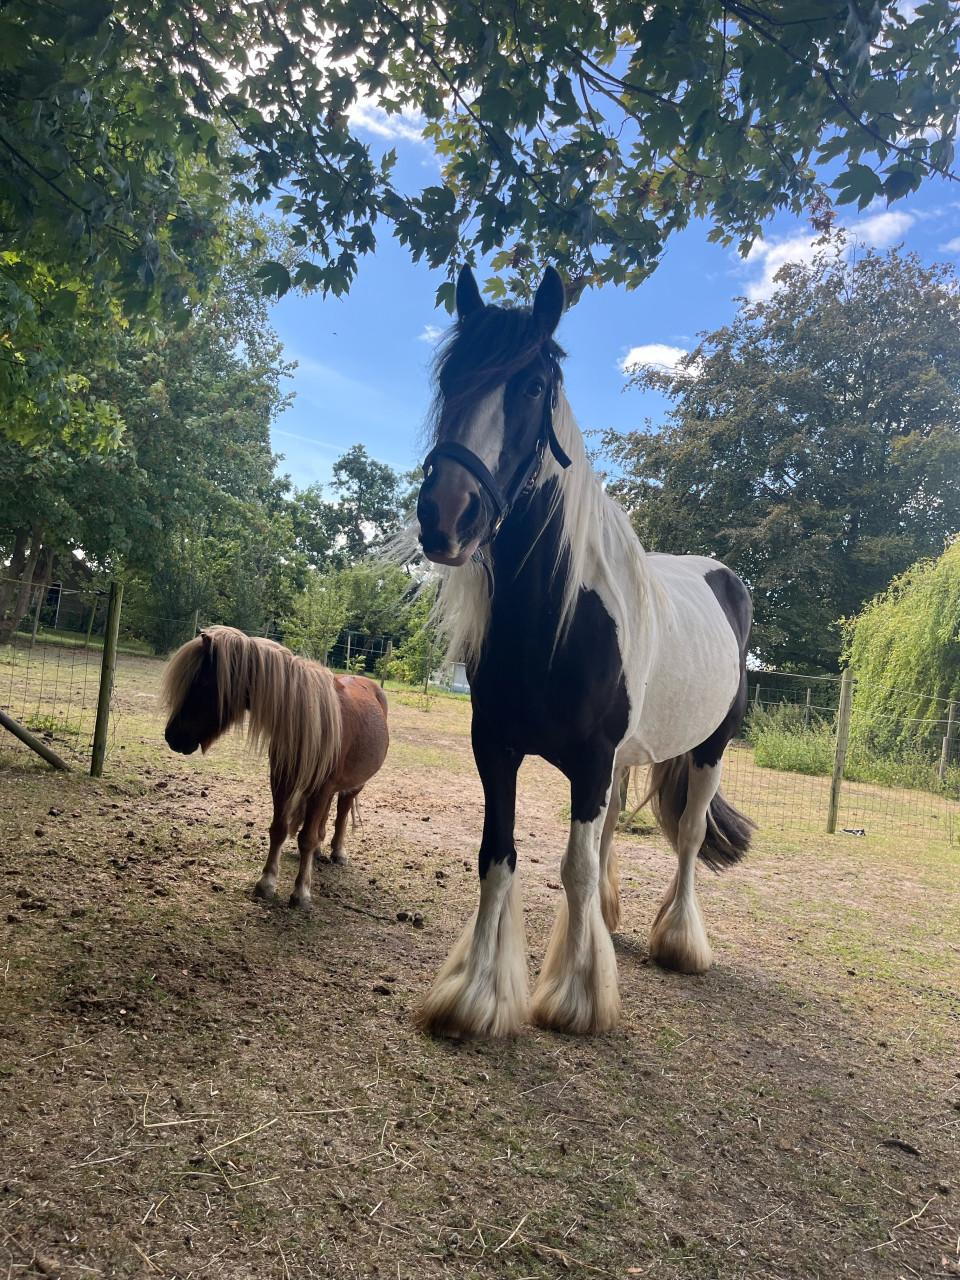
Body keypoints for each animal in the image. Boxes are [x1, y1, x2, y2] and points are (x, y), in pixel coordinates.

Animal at [161, 626, 389, 909]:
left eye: (202, 683)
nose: (172, 736)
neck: (308, 717)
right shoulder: (282, 779)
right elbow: (279, 829)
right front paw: (267, 882)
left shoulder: (321, 787)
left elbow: (306, 838)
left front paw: (301, 892)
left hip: (353, 785)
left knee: (343, 811)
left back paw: (338, 852)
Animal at [409, 265, 754, 1038]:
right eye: (450, 375)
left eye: (533, 385)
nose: (446, 515)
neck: (557, 618)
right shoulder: (496, 746)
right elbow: (498, 856)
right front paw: (477, 996)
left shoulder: (593, 759)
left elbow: (573, 868)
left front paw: (574, 997)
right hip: (624, 760)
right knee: (607, 840)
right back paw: (605, 921)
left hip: (708, 748)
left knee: (687, 838)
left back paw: (679, 942)